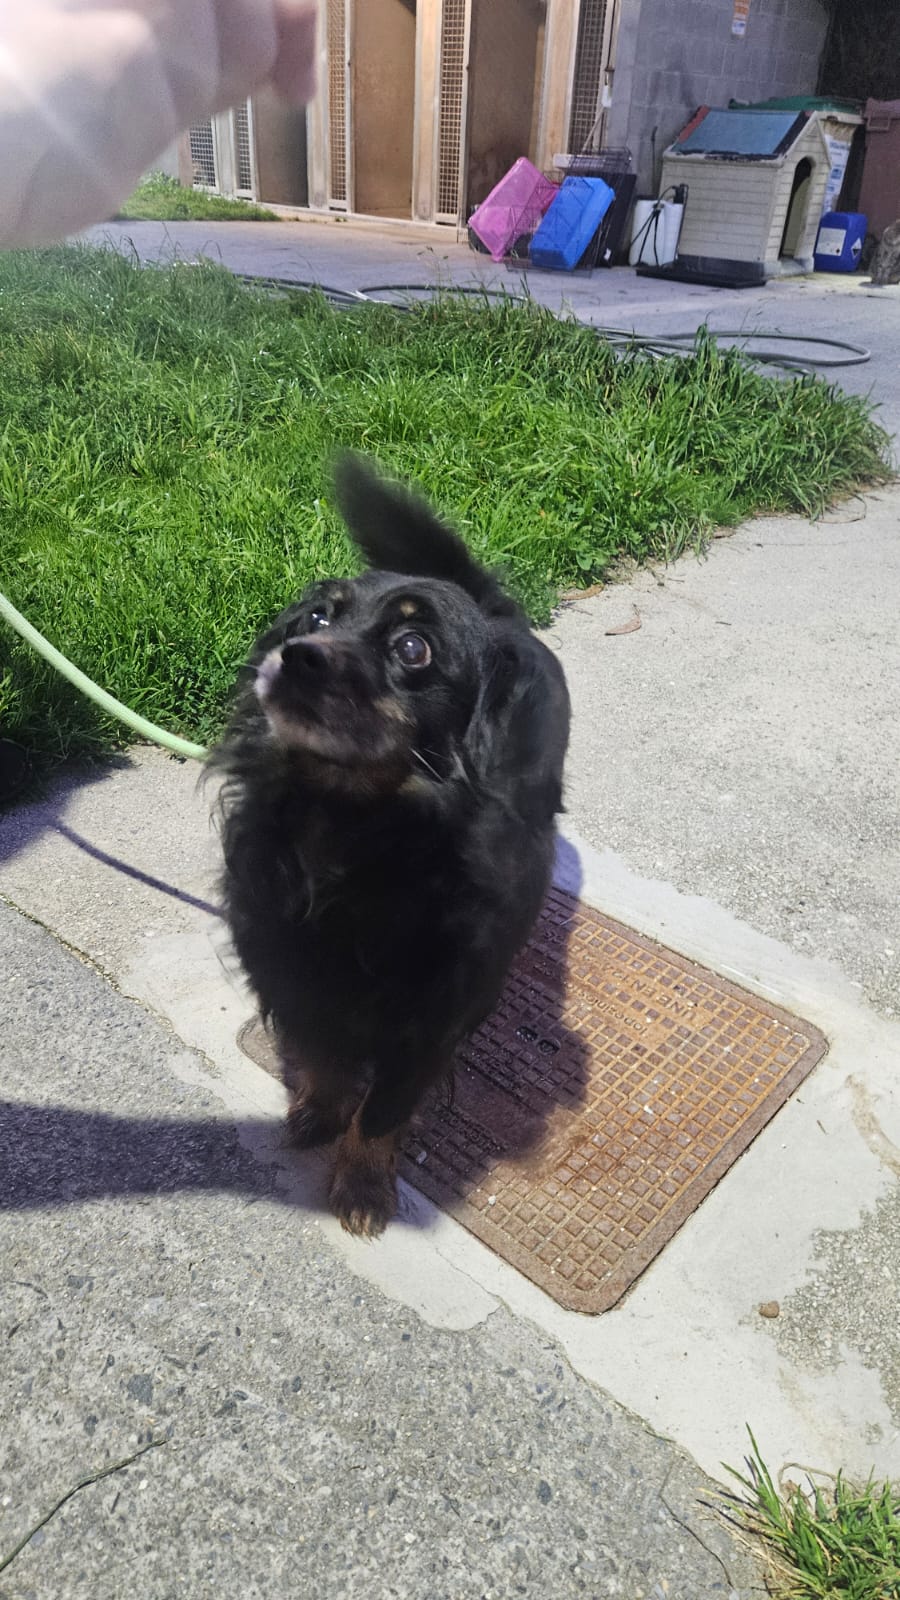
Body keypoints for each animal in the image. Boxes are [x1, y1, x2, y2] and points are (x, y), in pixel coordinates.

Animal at [211, 455, 570, 1235]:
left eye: (413, 648)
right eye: (317, 617)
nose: (295, 657)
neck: (352, 833)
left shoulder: (427, 1026)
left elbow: (381, 1113)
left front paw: (363, 1186)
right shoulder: (292, 976)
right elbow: (326, 1060)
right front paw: (319, 1112)